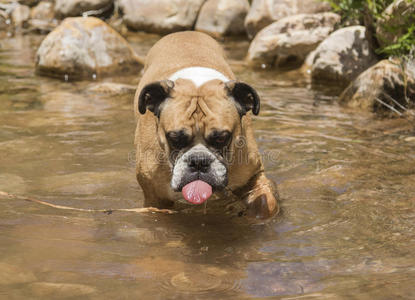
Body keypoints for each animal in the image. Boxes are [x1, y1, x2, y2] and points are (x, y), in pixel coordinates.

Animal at [135, 31, 280, 218]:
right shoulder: (155, 199)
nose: (198, 161)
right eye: (175, 138)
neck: (197, 84)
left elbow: (265, 202)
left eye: (221, 138)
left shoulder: (253, 177)